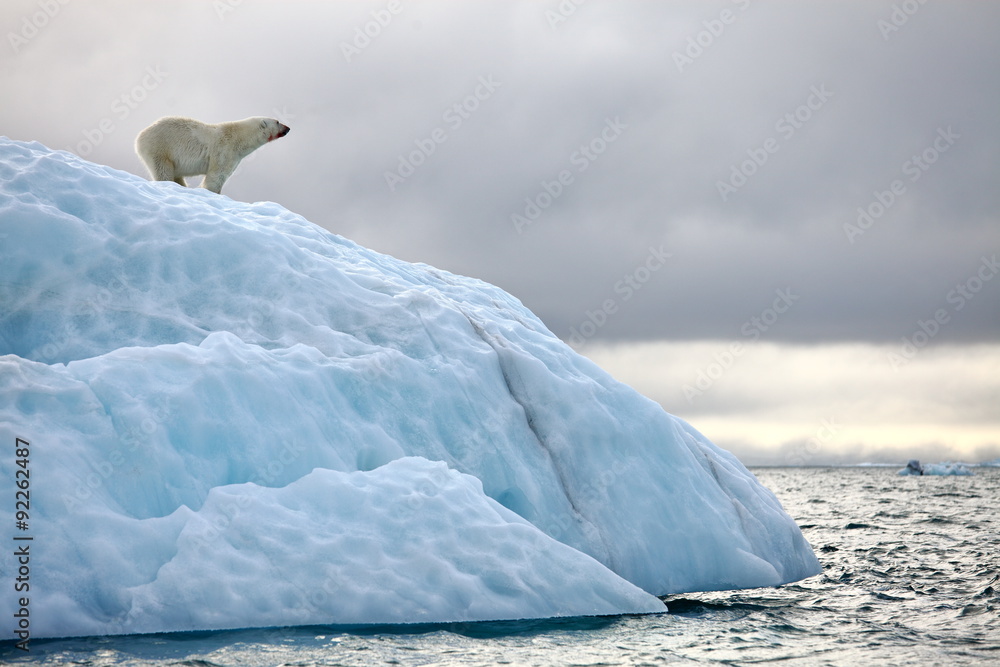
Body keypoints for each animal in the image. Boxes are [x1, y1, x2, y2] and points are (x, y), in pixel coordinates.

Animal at [135, 116, 290, 194]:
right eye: (277, 121)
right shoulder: (224, 150)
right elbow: (216, 176)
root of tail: (140, 136)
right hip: (160, 148)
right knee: (163, 170)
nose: (288, 128)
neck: (239, 138)